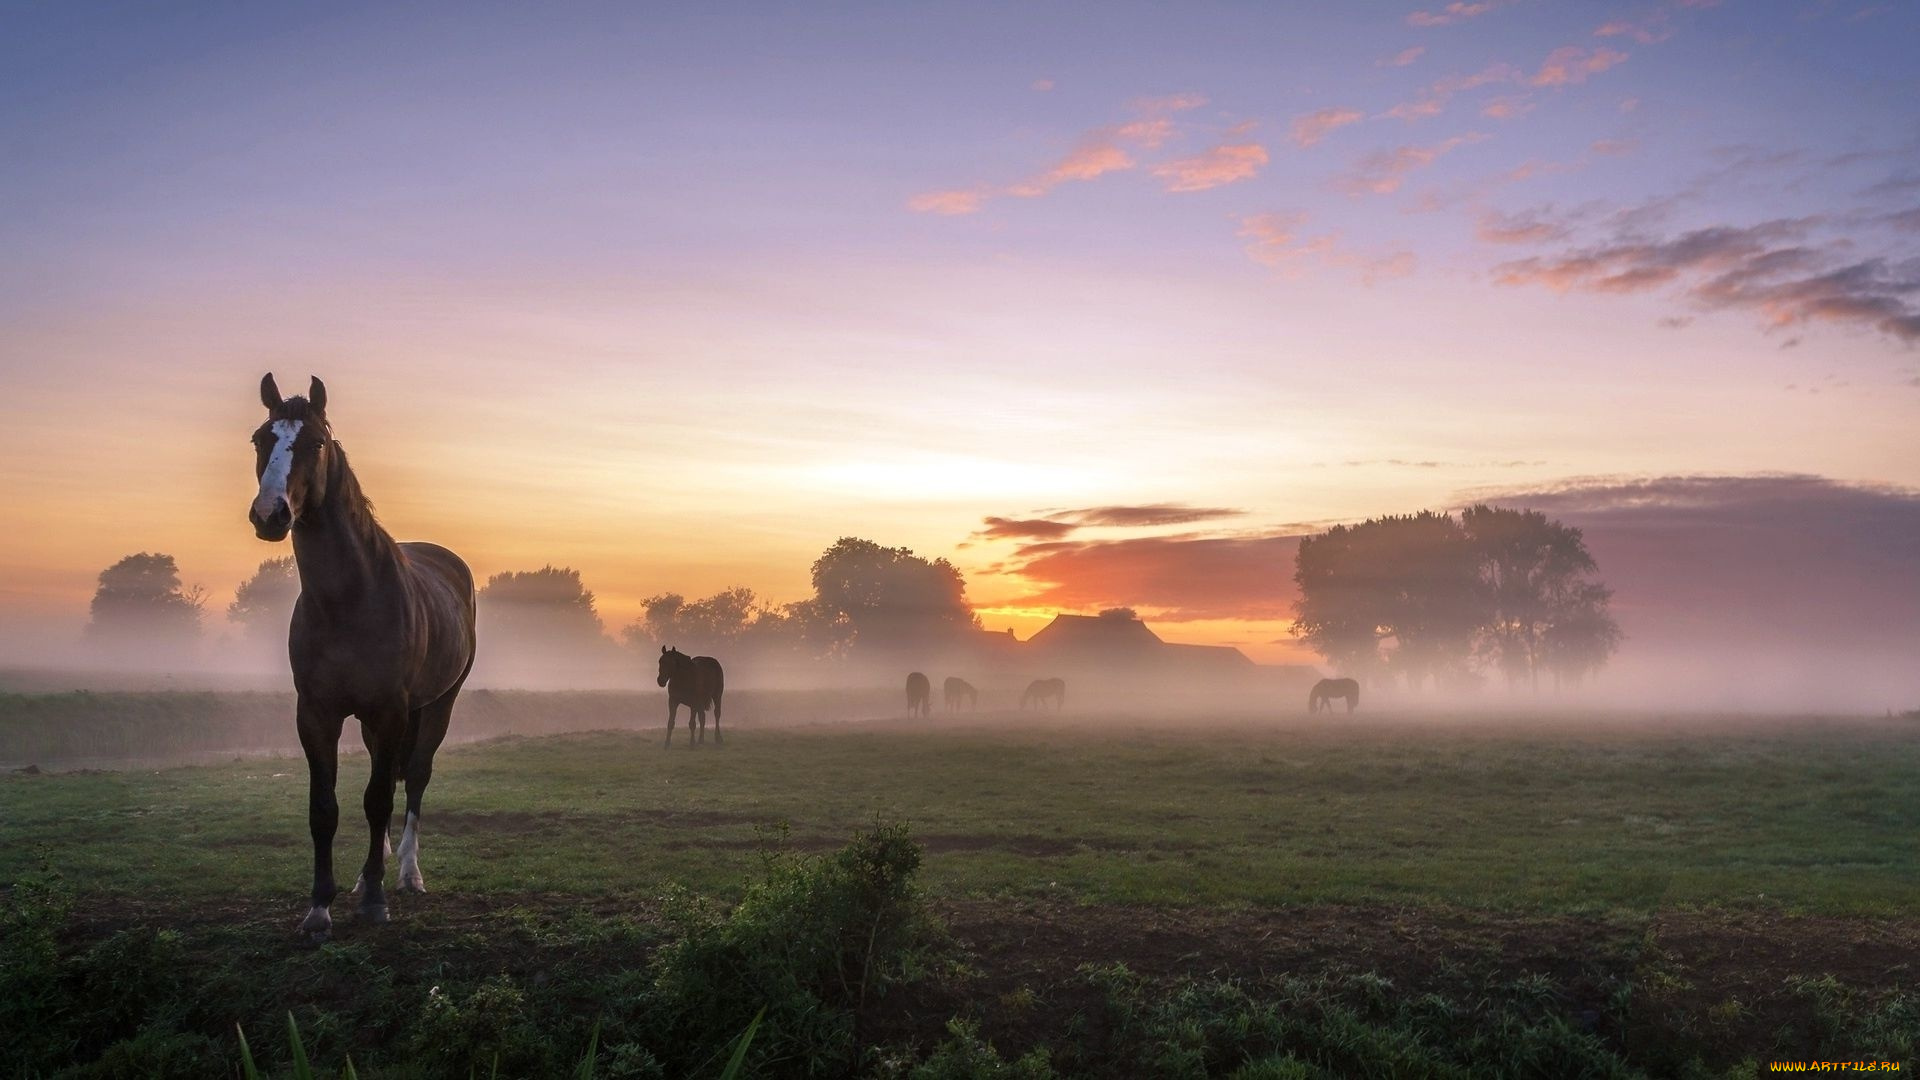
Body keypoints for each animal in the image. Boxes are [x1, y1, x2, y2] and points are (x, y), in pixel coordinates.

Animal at [247, 374, 476, 937]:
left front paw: (375, 900)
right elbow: (324, 808)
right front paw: (320, 906)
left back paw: (407, 874)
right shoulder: (316, 714)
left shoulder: (390, 710)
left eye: (315, 443)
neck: (349, 599)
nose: (270, 514)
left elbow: (378, 799)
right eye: (261, 439)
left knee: (414, 778)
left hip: (437, 705)